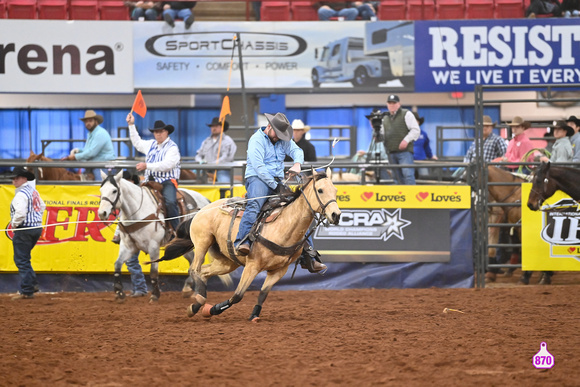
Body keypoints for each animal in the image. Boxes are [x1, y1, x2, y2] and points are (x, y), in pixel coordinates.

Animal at [96, 172, 230, 304]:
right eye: (101, 190)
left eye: (114, 191)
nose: (102, 213)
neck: (137, 212)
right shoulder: (128, 246)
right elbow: (117, 265)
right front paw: (119, 293)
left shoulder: (153, 246)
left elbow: (153, 272)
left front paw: (155, 295)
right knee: (193, 260)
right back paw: (188, 288)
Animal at [156, 170, 342, 322]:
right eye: (320, 190)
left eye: (335, 190)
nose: (336, 215)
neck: (283, 227)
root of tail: (201, 208)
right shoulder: (252, 266)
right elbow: (237, 295)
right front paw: (213, 310)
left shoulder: (279, 270)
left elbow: (263, 294)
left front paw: (254, 315)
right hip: (202, 242)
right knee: (194, 269)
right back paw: (198, 303)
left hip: (227, 262)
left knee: (204, 272)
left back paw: (197, 301)